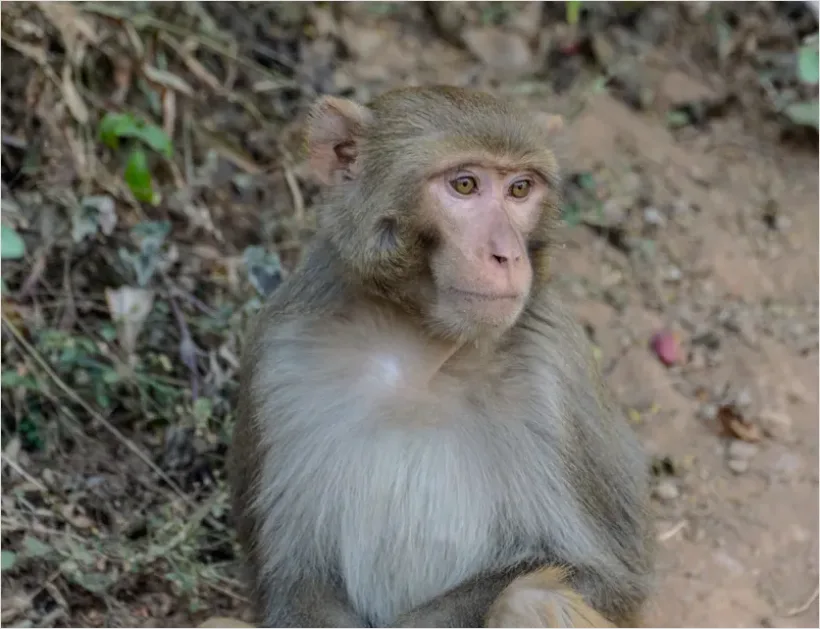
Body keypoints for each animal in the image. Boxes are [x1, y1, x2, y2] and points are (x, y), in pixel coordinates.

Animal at [229, 85, 654, 628]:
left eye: (520, 189)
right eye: (465, 185)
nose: (507, 255)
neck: (419, 349)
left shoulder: (556, 372)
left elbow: (605, 578)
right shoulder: (278, 360)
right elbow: (293, 582)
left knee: (531, 597)